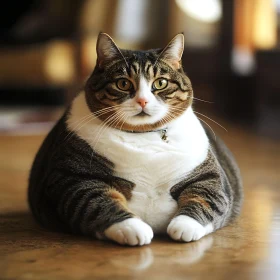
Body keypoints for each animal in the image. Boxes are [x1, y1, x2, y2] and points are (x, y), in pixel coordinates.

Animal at [29, 32, 243, 246]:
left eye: (160, 83)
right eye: (123, 83)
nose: (143, 101)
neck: (144, 135)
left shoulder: (209, 176)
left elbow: (208, 197)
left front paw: (185, 226)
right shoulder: (70, 178)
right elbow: (96, 201)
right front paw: (132, 228)